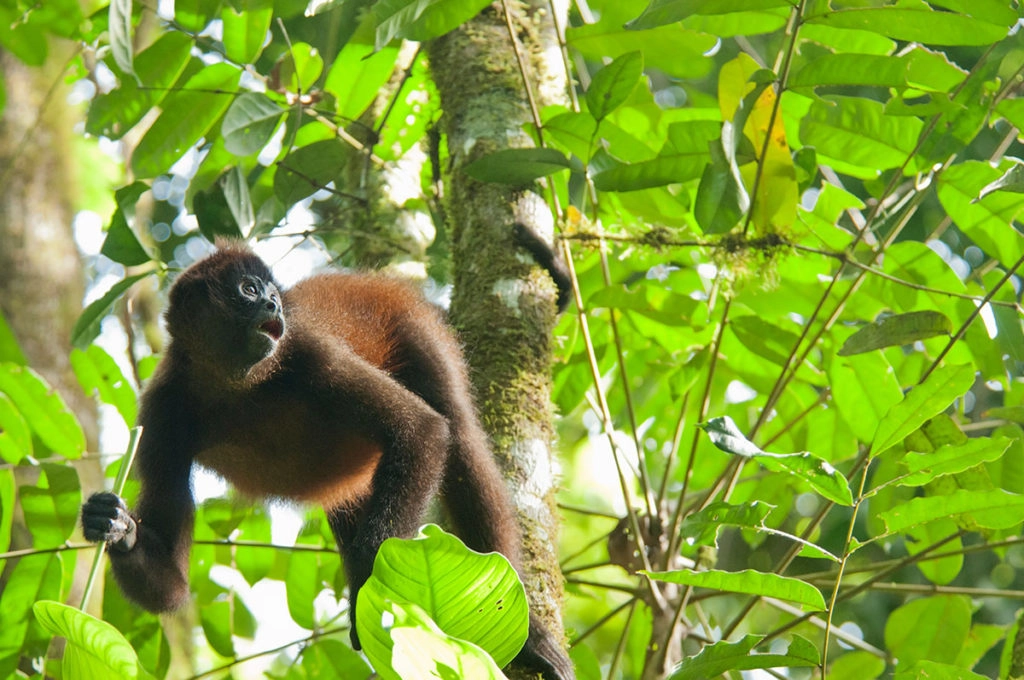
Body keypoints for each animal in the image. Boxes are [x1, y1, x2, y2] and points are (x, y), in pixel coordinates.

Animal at [81, 242, 574, 680]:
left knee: (459, 436)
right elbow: (172, 590)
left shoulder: (308, 352)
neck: (235, 385)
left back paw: (526, 637)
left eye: (271, 292)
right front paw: (116, 526)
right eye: (248, 289)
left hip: (414, 329)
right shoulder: (160, 413)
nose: (274, 303)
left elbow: (422, 430)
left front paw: (373, 589)